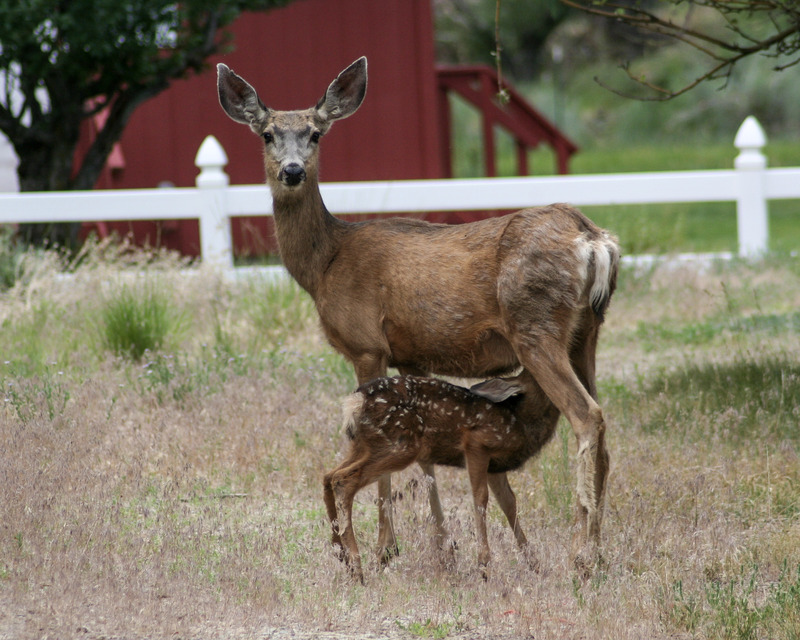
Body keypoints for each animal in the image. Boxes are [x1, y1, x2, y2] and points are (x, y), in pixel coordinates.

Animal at [324, 371, 560, 583]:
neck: (518, 420)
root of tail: (356, 400)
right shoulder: (476, 443)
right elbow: (481, 498)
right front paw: (484, 566)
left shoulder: (495, 466)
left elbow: (509, 503)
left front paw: (535, 564)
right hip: (400, 445)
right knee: (342, 479)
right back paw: (357, 569)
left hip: (365, 444)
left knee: (328, 475)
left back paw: (341, 552)